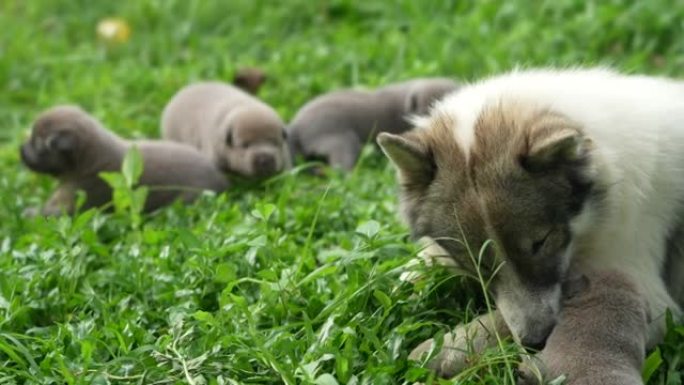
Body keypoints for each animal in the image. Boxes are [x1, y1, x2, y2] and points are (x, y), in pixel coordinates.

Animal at [20, 104, 228, 216]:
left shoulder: (80, 195)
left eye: (38, 146)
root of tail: (222, 179)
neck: (89, 160)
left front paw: (29, 213)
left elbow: (53, 212)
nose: (20, 149)